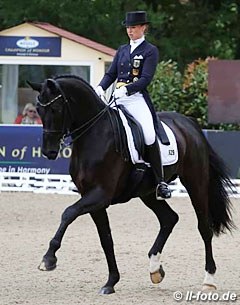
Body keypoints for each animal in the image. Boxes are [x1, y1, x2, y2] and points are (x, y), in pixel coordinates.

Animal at [26, 75, 234, 294]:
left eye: (56, 108)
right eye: (39, 110)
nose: (48, 152)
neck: (95, 134)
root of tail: (189, 123)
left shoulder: (100, 194)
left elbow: (68, 213)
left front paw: (48, 258)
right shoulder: (92, 199)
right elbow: (106, 239)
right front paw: (111, 282)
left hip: (196, 183)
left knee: (204, 228)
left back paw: (209, 279)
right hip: (148, 193)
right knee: (169, 218)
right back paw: (155, 269)